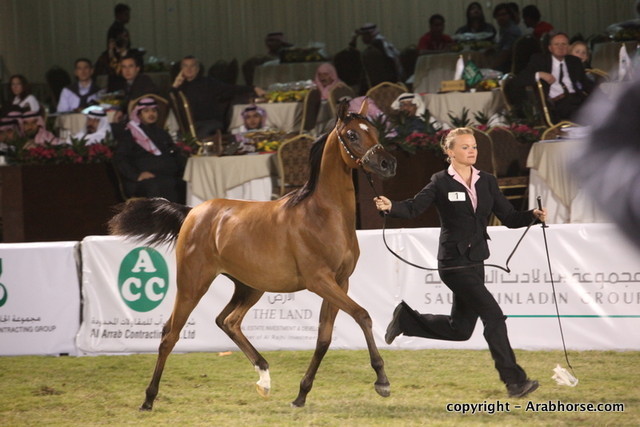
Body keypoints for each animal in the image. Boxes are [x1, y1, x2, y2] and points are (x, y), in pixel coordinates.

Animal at [108, 99, 397, 410]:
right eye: (352, 135)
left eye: (374, 130)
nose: (387, 164)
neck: (322, 215)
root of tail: (192, 211)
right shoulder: (320, 281)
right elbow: (362, 315)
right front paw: (382, 381)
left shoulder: (340, 282)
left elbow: (324, 338)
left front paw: (301, 394)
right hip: (193, 284)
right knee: (170, 333)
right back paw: (148, 399)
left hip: (249, 287)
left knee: (228, 321)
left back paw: (264, 379)